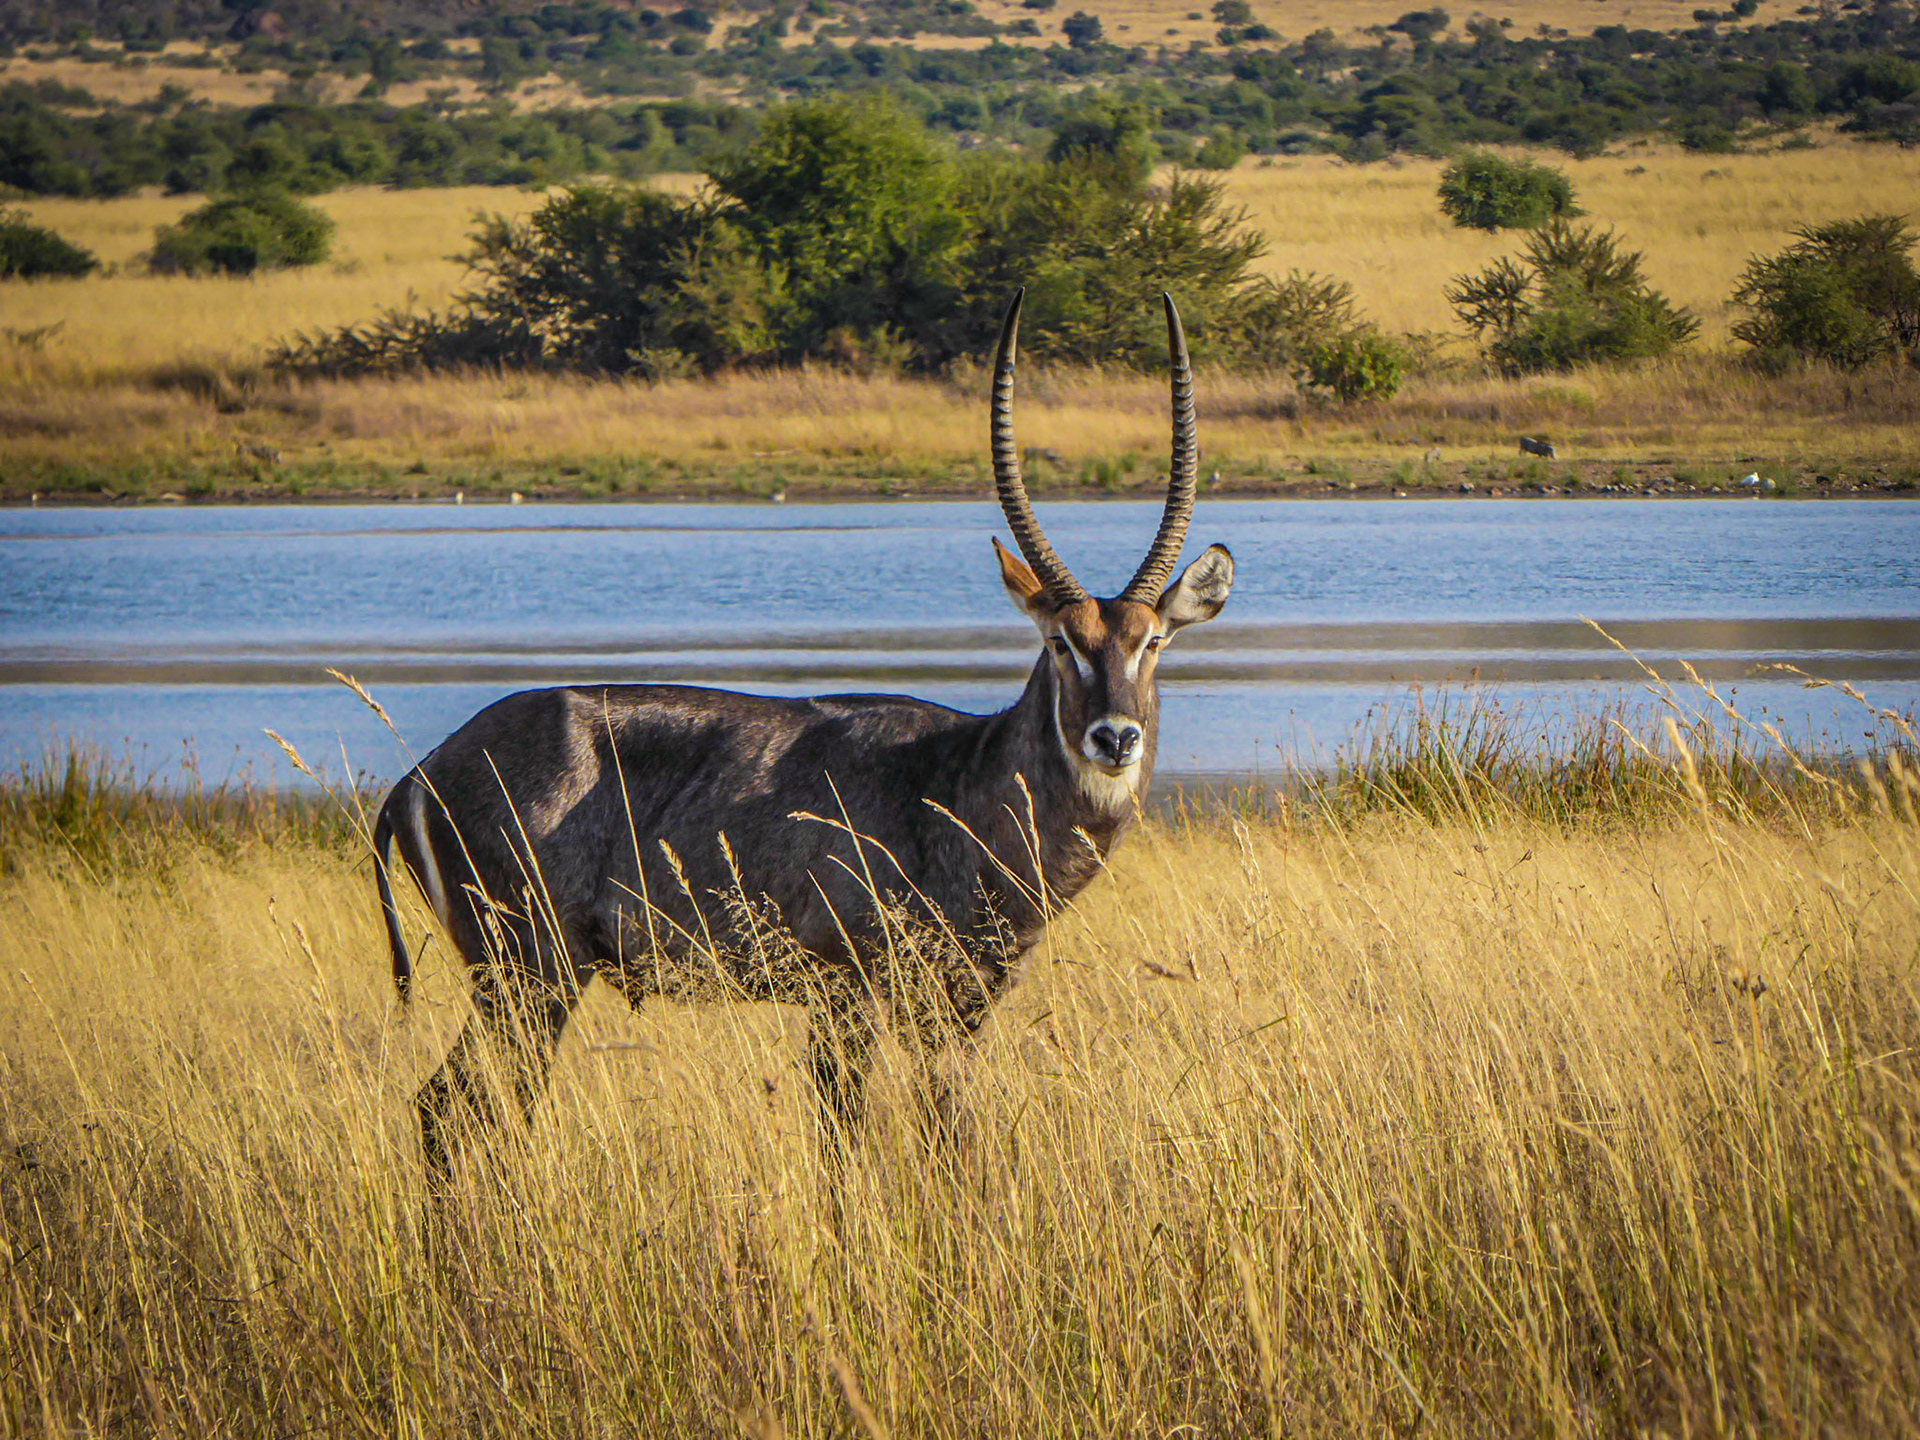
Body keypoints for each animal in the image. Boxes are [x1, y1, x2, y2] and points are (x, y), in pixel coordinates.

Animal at [372, 291, 1235, 1178]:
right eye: (1061, 642)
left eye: (1152, 641)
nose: (1114, 738)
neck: (958, 783)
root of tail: (418, 776)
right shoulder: (844, 987)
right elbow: (844, 1135)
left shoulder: (961, 1009)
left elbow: (949, 1137)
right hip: (530, 973)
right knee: (449, 1110)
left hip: (529, 981)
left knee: (465, 1111)